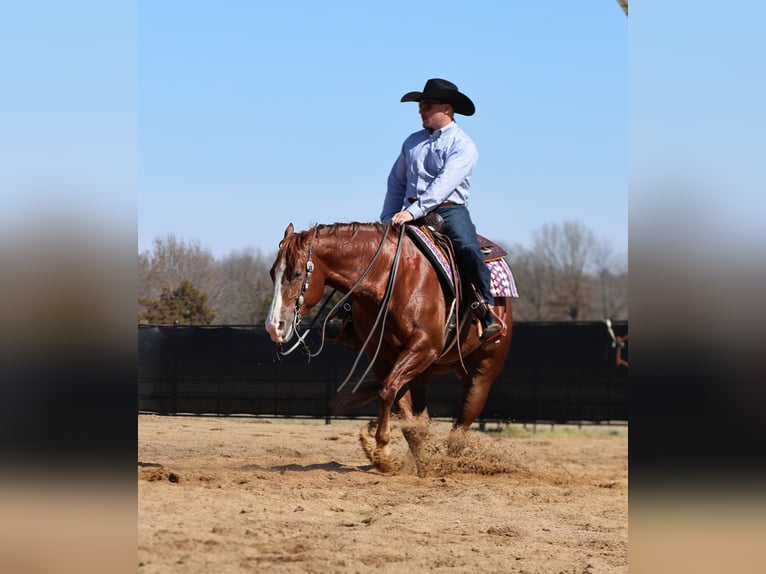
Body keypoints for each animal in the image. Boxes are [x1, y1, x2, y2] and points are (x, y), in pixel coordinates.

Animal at [266, 223, 516, 474]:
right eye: (272, 273)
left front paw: (382, 450)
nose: (274, 326)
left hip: (482, 373)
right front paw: (404, 459)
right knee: (424, 418)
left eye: (297, 273)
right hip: (423, 374)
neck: (390, 278)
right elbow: (399, 404)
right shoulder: (381, 355)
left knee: (462, 424)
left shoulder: (424, 346)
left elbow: (387, 390)